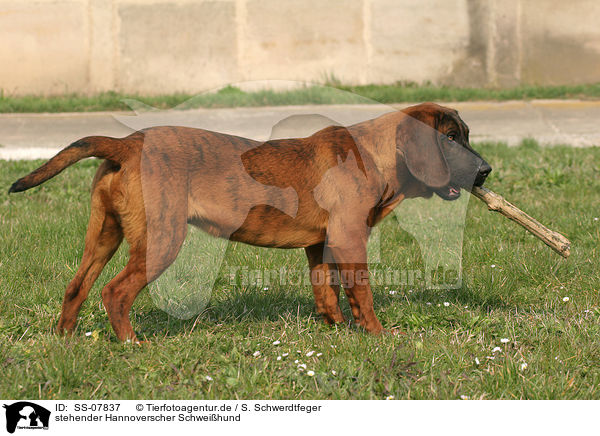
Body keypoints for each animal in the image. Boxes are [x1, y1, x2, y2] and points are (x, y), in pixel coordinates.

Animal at [9, 102, 490, 340]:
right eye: (450, 138)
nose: (486, 172)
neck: (374, 154)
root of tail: (127, 143)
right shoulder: (350, 240)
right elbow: (362, 295)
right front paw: (376, 335)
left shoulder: (320, 245)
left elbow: (327, 292)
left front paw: (336, 330)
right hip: (161, 241)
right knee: (115, 292)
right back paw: (131, 343)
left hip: (104, 234)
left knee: (77, 287)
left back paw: (65, 340)